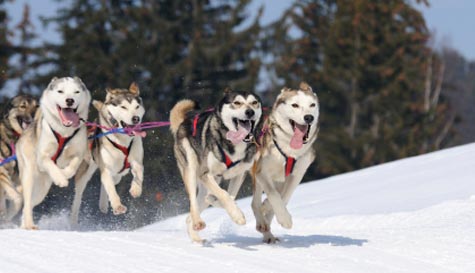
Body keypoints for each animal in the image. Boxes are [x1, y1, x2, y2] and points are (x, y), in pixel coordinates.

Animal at [16, 76, 91, 227]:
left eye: (76, 91)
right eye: (60, 91)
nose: (70, 100)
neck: (64, 132)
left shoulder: (78, 154)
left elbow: (72, 167)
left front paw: (64, 174)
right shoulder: (42, 157)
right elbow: (50, 163)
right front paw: (60, 179)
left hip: (42, 190)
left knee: (30, 205)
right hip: (29, 177)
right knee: (27, 204)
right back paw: (30, 225)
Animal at [70, 82, 145, 223]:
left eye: (137, 107)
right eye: (123, 107)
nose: (136, 118)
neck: (122, 141)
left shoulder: (136, 160)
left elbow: (138, 172)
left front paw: (136, 189)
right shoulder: (106, 167)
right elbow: (110, 188)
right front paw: (117, 206)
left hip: (118, 173)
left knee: (108, 181)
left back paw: (103, 204)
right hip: (86, 170)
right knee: (79, 194)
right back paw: (74, 219)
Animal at [170, 88, 264, 241]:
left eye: (254, 102)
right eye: (237, 103)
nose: (250, 112)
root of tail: (184, 123)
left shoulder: (239, 174)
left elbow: (229, 196)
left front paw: (231, 209)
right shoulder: (206, 175)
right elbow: (224, 194)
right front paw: (237, 216)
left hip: (210, 183)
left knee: (193, 212)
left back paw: (196, 237)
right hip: (191, 169)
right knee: (193, 202)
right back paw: (198, 223)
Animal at [253, 81, 320, 242]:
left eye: (312, 105)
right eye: (295, 105)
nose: (309, 117)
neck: (289, 150)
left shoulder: (297, 174)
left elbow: (284, 197)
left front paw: (271, 209)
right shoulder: (262, 172)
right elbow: (274, 196)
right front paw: (285, 219)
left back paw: (268, 231)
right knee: (255, 202)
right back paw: (262, 223)